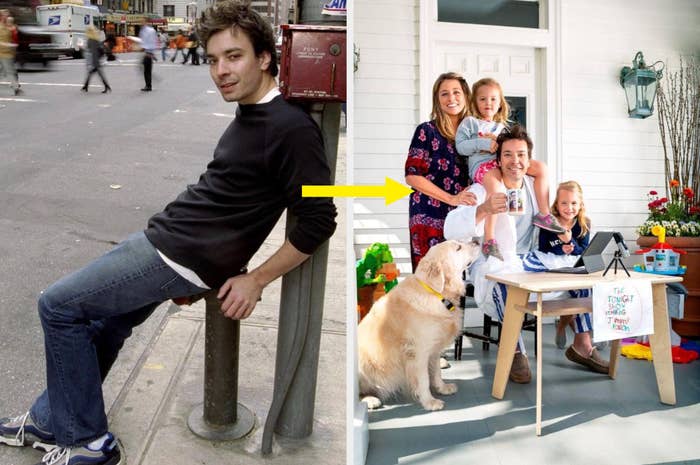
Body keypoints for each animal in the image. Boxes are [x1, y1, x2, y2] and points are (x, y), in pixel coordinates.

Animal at [358, 239, 478, 410]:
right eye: (458, 247)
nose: (477, 240)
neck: (437, 294)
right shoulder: (418, 352)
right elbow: (424, 380)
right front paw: (429, 402)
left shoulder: (434, 349)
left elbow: (436, 372)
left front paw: (442, 388)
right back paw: (370, 399)